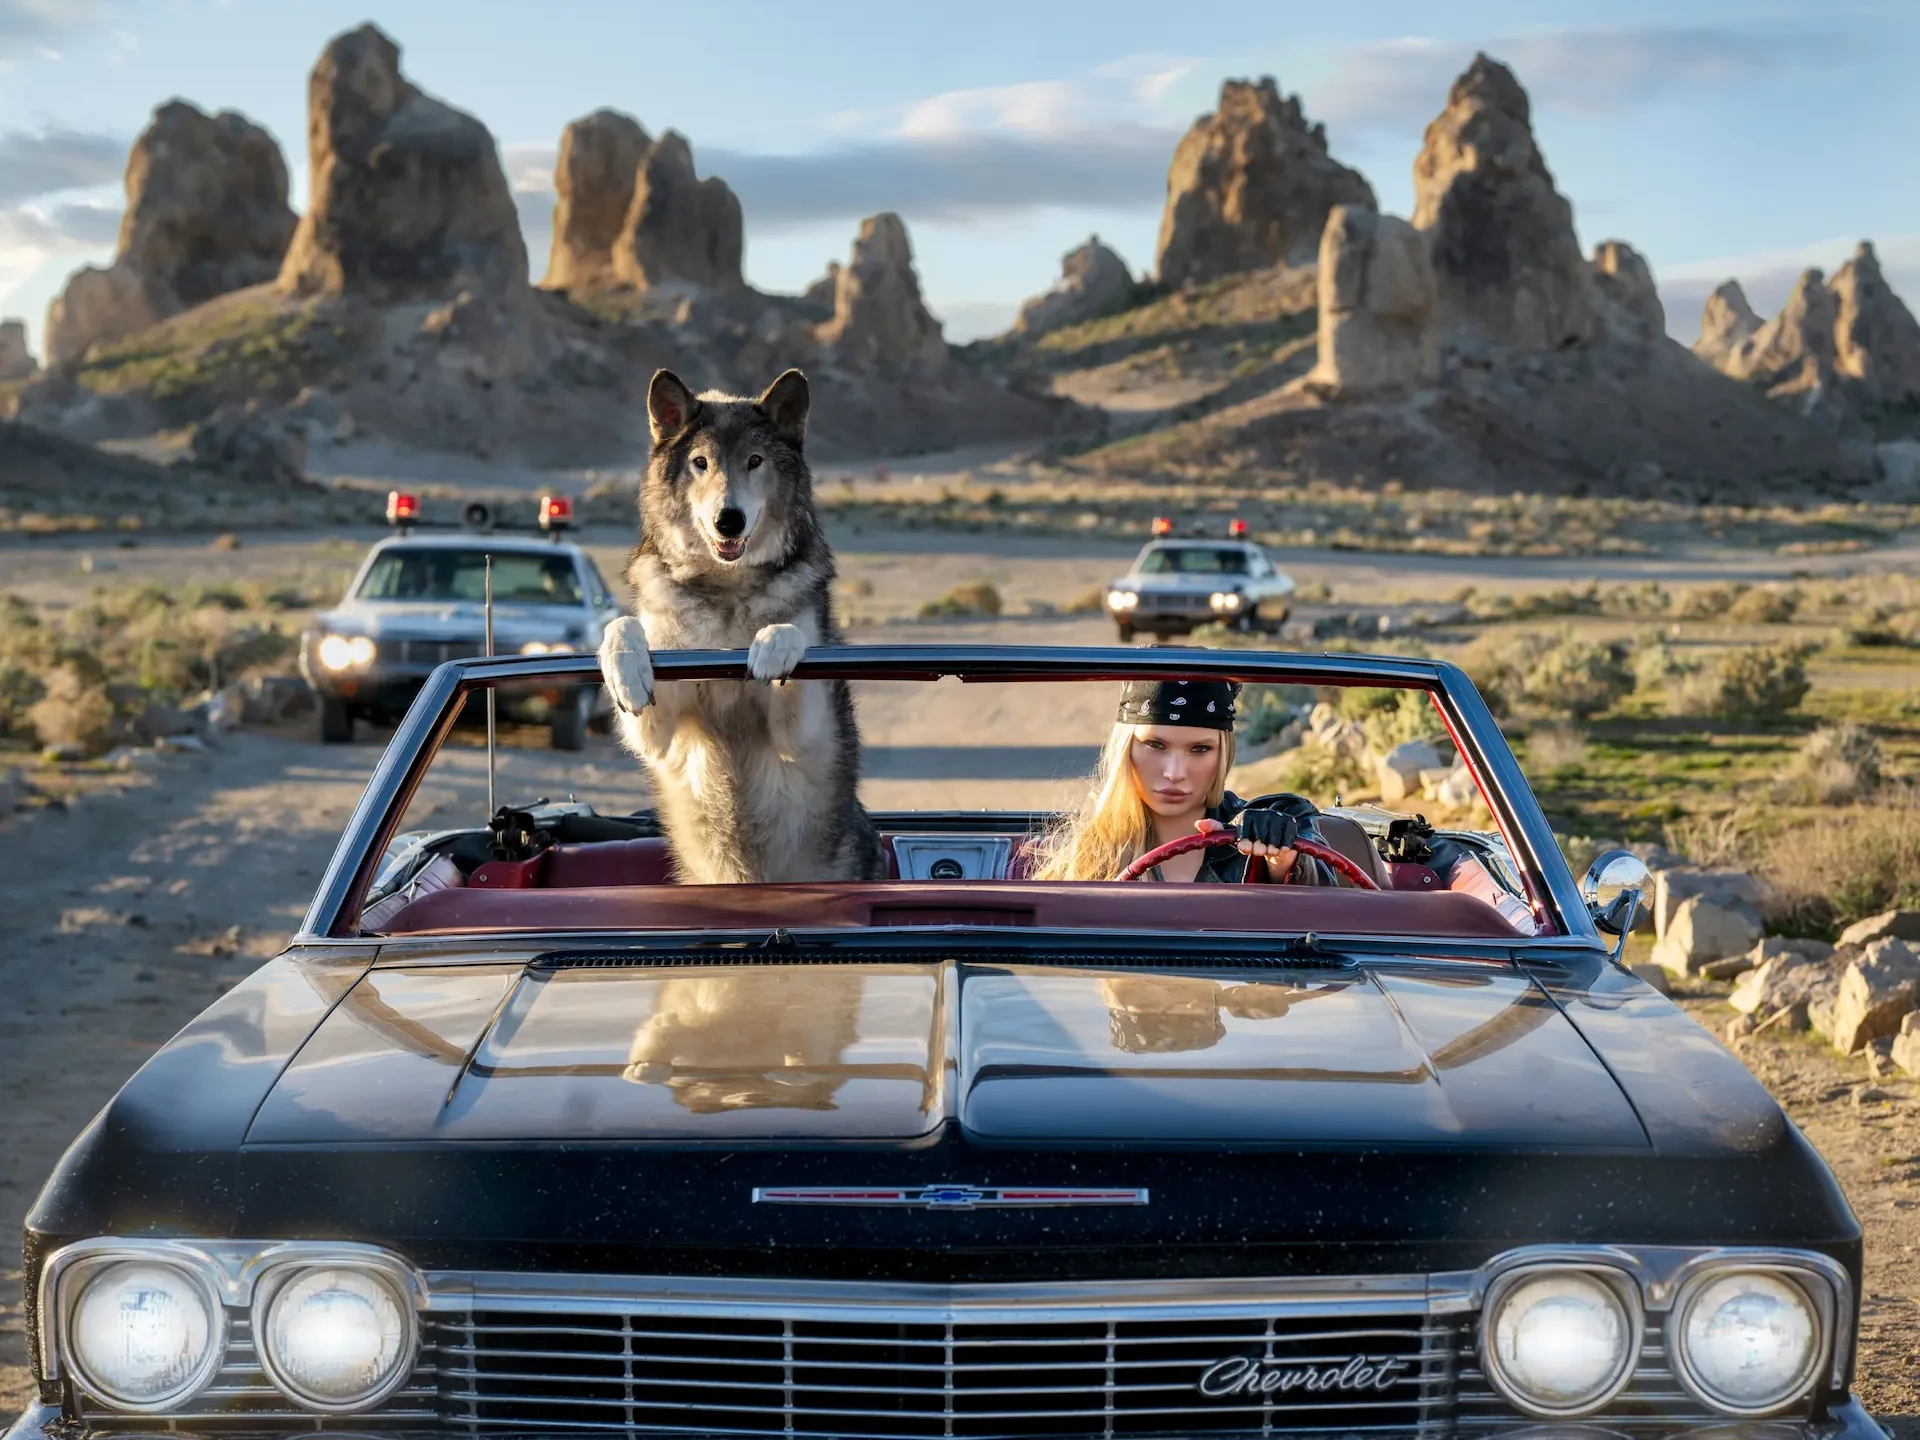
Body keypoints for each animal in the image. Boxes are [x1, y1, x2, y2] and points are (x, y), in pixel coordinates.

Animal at [597, 367, 886, 884]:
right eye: (700, 463)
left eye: (755, 461)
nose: (727, 520)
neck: (726, 594)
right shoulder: (658, 735)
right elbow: (624, 626)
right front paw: (625, 670)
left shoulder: (803, 735)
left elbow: (789, 629)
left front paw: (772, 648)